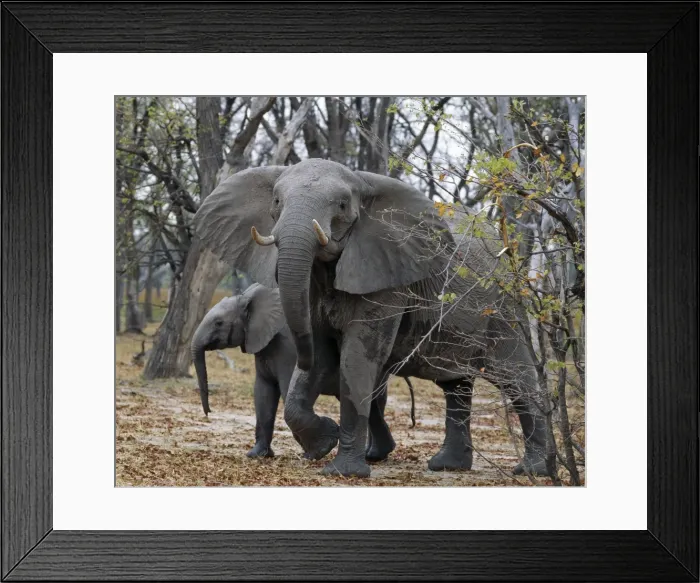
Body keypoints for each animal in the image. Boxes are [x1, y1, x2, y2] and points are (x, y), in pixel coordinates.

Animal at [190, 282, 409, 461]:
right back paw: (374, 455)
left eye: (218, 323)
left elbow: (286, 389)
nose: (209, 413)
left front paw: (315, 452)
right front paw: (257, 455)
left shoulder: (288, 348)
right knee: (373, 404)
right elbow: (263, 392)